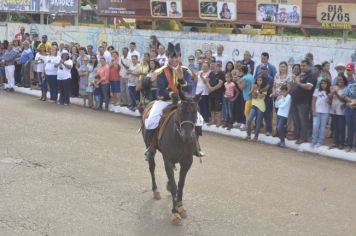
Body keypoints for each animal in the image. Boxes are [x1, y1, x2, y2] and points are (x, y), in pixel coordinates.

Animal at [143, 91, 203, 224]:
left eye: (195, 111)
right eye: (180, 110)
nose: (188, 136)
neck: (180, 140)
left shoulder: (187, 162)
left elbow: (180, 184)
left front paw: (180, 206)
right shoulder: (168, 160)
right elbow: (175, 185)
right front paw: (175, 212)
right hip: (151, 150)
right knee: (152, 167)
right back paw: (155, 190)